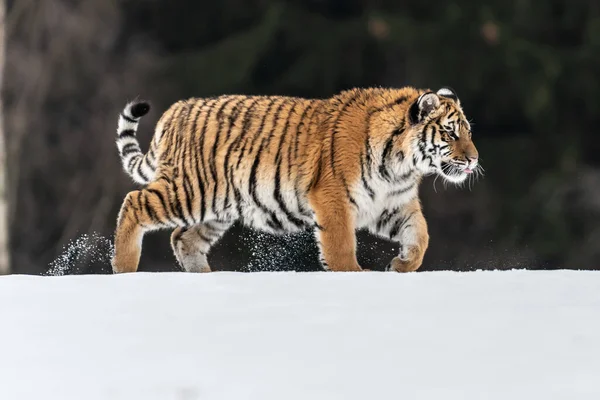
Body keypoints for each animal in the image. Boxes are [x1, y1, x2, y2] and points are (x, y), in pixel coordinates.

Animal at [111, 86, 478, 274]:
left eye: (469, 132)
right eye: (450, 133)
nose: (474, 159)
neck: (402, 165)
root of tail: (173, 112)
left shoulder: (392, 204)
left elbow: (420, 235)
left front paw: (400, 266)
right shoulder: (333, 198)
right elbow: (341, 247)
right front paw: (355, 277)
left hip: (218, 207)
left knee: (183, 239)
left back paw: (204, 279)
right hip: (191, 191)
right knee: (133, 203)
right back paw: (124, 269)